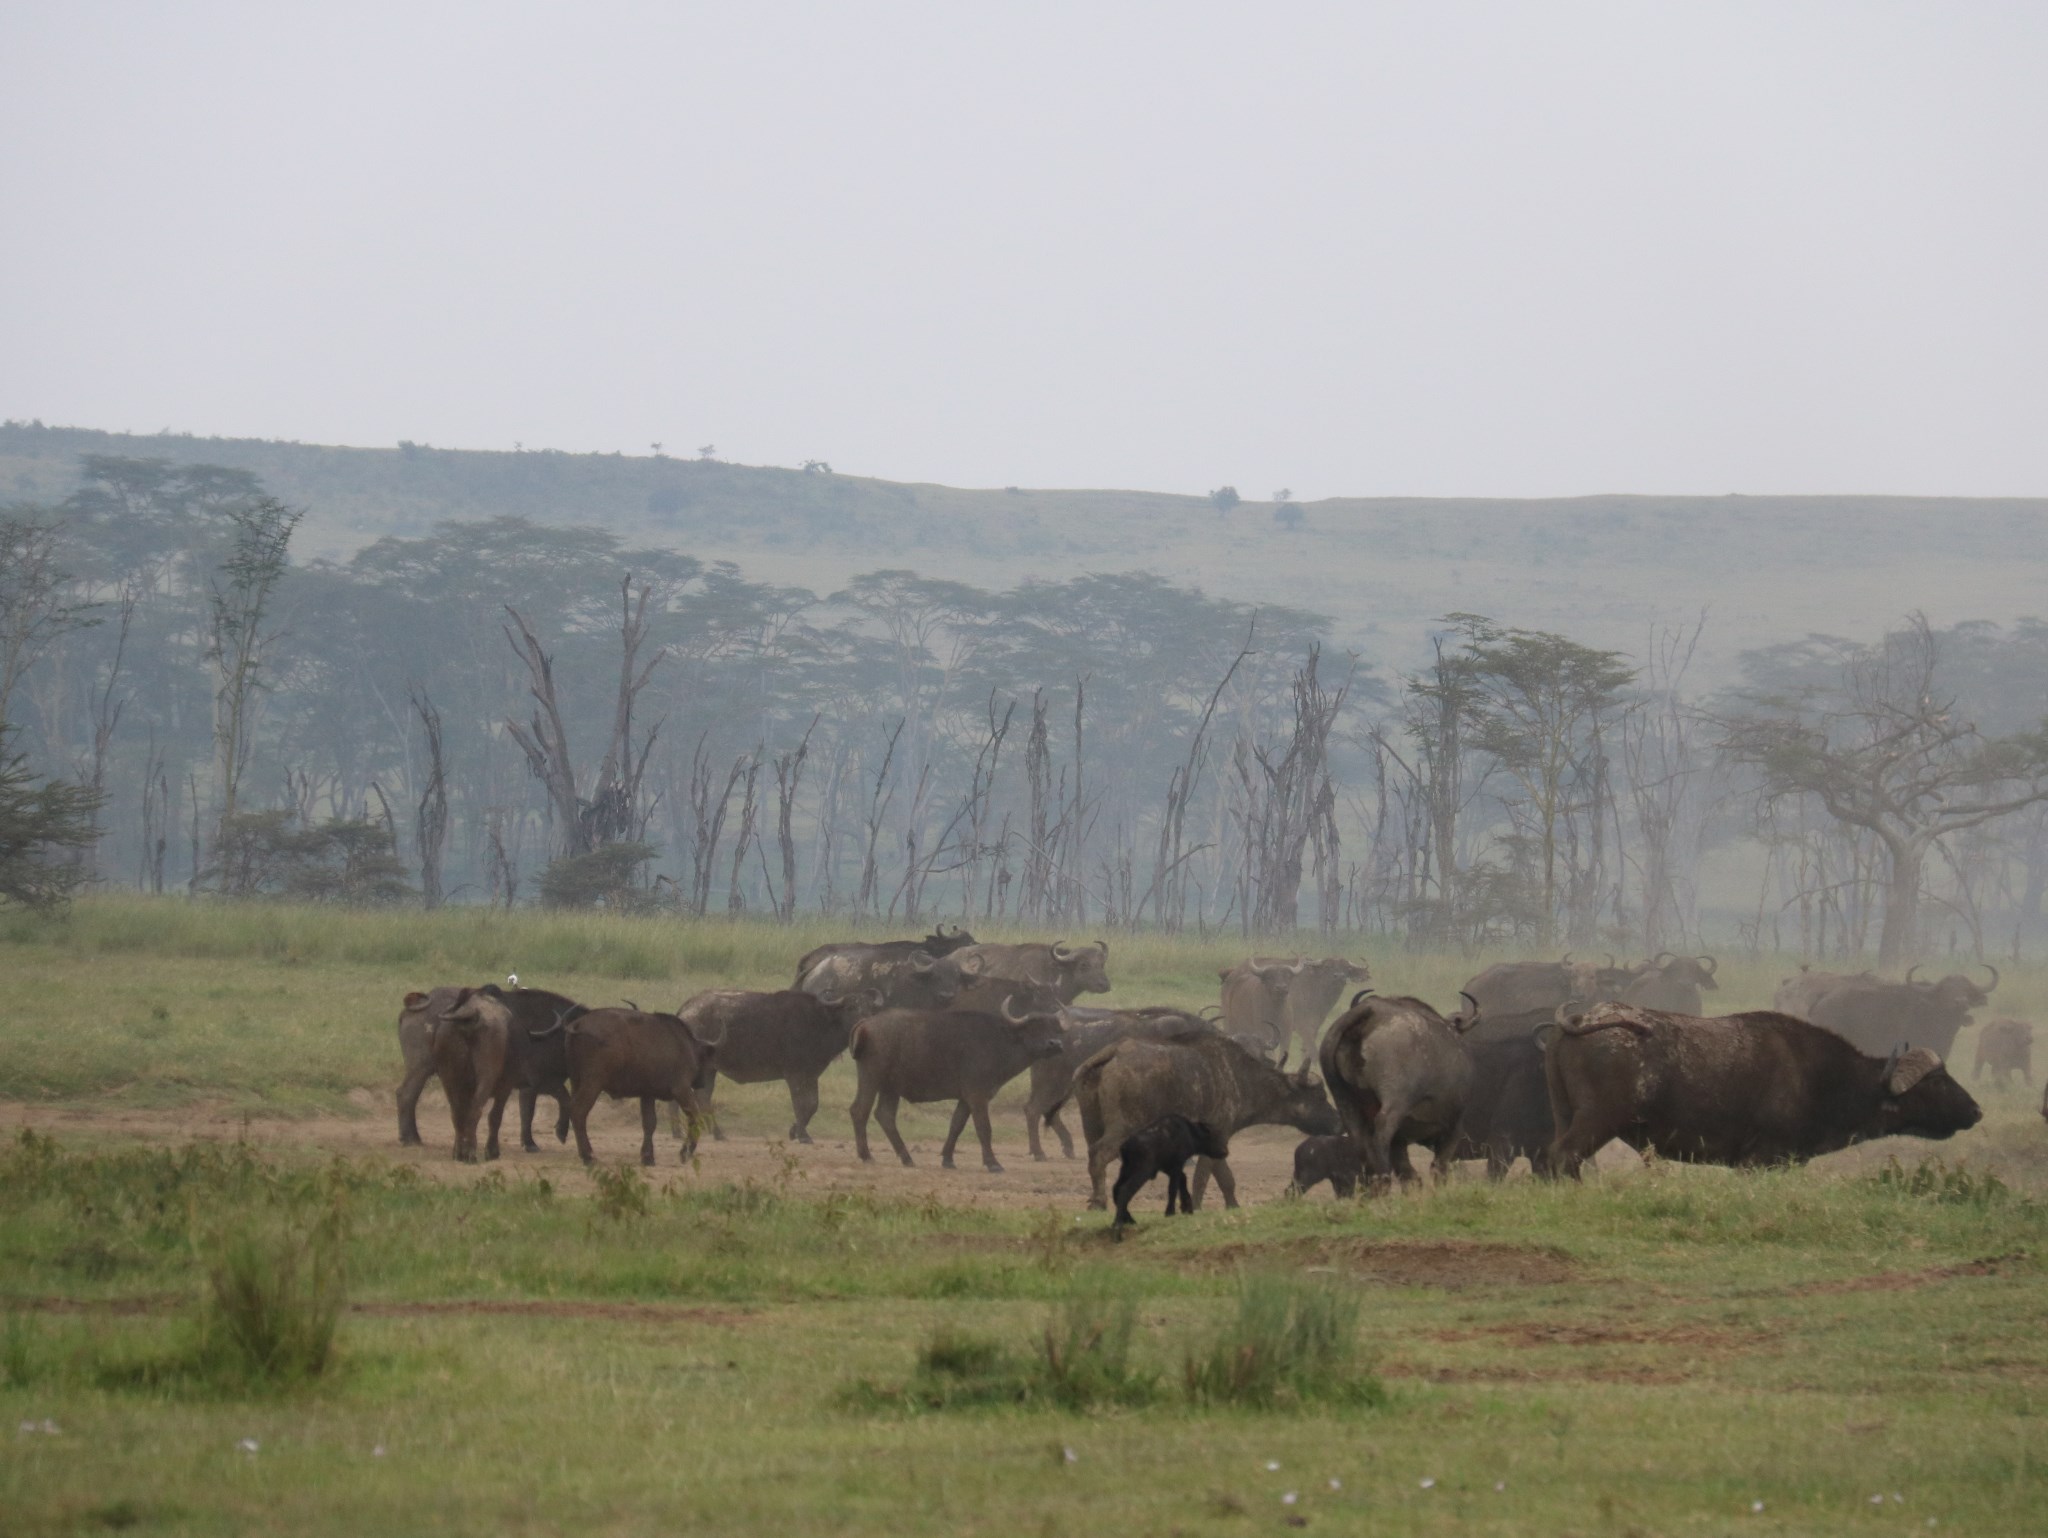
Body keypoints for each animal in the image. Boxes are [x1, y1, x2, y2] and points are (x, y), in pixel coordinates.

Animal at [1548, 1003, 1982, 1187]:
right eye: (1937, 1082)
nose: (1976, 1111)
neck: (1818, 1076)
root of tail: (1583, 1020)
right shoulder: (1757, 1161)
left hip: (1567, 1115)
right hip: (1597, 1120)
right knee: (1564, 1156)